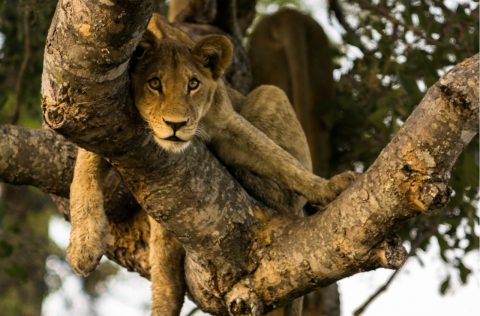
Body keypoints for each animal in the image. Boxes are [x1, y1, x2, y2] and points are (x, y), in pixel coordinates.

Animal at [66, 13, 356, 314]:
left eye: (193, 84)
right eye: (154, 83)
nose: (176, 125)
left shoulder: (226, 124)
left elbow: (280, 160)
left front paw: (329, 187)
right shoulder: (104, 120)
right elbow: (83, 176)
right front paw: (83, 246)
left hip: (270, 93)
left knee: (287, 196)